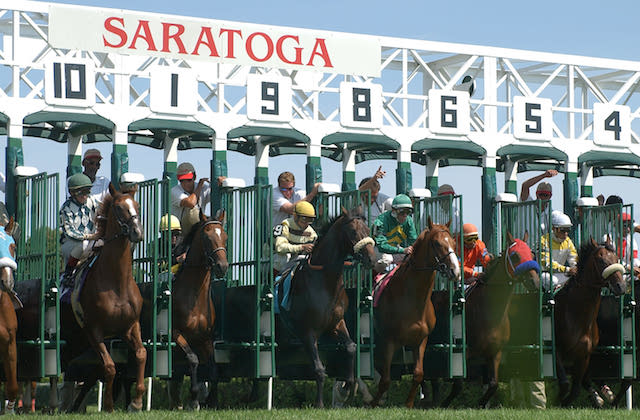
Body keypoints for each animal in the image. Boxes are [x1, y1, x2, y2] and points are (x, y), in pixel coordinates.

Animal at [166, 212, 229, 408]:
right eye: (207, 238)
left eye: (225, 237)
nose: (222, 266)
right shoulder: (175, 332)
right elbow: (193, 359)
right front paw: (194, 399)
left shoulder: (206, 338)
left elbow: (213, 367)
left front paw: (212, 400)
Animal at [278, 207, 378, 406]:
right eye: (353, 232)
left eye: (367, 230)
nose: (371, 259)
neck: (324, 282)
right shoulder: (308, 332)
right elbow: (318, 368)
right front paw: (319, 403)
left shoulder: (336, 324)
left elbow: (351, 347)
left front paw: (347, 385)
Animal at [370, 218, 460, 408]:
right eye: (436, 243)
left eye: (454, 243)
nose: (455, 271)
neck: (413, 299)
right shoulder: (389, 340)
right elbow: (385, 379)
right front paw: (373, 402)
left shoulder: (420, 340)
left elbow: (418, 374)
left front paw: (409, 404)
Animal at [440, 231, 540, 408]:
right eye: (515, 256)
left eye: (532, 254)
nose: (534, 282)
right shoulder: (463, 351)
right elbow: (458, 384)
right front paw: (444, 403)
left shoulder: (495, 352)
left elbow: (493, 384)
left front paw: (481, 402)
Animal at [556, 240, 624, 406]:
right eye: (601, 261)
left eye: (616, 258)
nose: (621, 286)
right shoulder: (555, 349)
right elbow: (565, 384)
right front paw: (557, 400)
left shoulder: (584, 356)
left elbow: (576, 389)